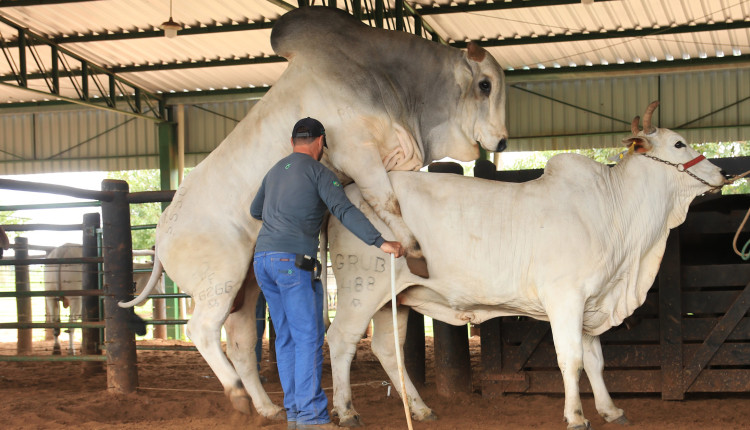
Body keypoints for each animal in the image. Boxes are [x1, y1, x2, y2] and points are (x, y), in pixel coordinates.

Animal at [123, 4, 508, 420]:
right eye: (485, 85)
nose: (503, 141)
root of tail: (162, 232)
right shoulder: (357, 153)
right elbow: (386, 199)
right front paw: (414, 250)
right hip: (219, 281)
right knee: (203, 330)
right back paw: (238, 395)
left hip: (245, 289)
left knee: (241, 344)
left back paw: (267, 407)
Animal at [328, 102, 728, 428]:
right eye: (679, 144)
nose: (722, 174)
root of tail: (346, 190)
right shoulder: (566, 298)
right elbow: (571, 359)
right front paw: (576, 416)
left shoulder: (591, 303)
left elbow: (595, 361)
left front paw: (611, 410)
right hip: (360, 290)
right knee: (341, 340)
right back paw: (346, 412)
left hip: (395, 299)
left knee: (387, 349)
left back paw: (421, 409)